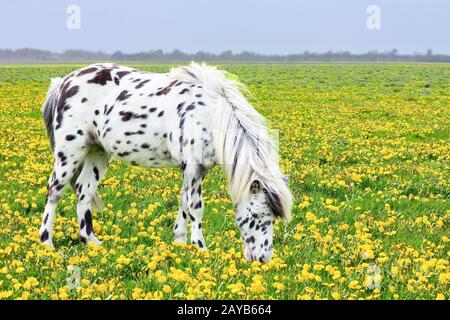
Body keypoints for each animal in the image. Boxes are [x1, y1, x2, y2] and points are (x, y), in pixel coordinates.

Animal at [38, 62, 294, 262]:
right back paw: (46, 243)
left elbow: (183, 203)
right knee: (54, 191)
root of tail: (64, 82)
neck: (209, 114)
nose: (263, 258)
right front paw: (200, 247)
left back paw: (92, 242)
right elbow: (195, 208)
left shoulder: (196, 170)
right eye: (258, 216)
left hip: (97, 152)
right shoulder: (193, 166)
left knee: (84, 191)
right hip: (69, 152)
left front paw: (180, 243)